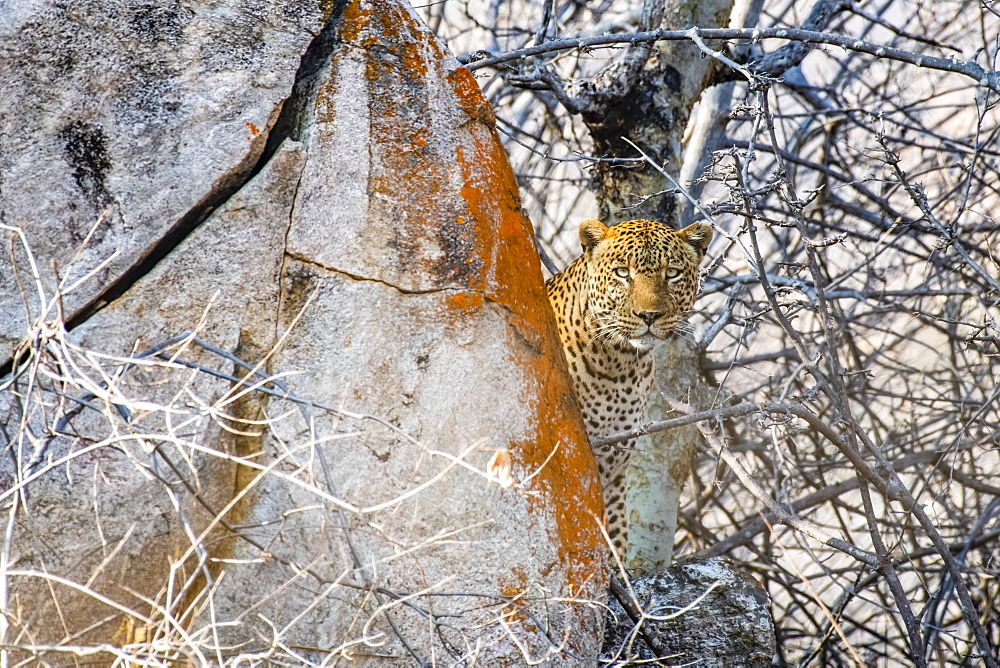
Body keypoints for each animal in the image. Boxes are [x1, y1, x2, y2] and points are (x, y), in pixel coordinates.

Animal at [544, 218, 716, 560]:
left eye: (672, 273)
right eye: (623, 272)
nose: (649, 315)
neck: (618, 365)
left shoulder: (614, 468)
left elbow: (616, 538)